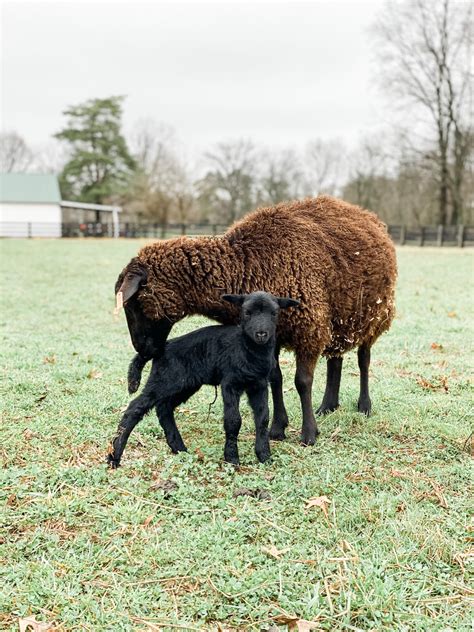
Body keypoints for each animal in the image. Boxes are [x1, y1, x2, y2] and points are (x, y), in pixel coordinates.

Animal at [108, 294, 300, 466]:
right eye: (246, 312)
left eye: (274, 313)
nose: (261, 334)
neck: (248, 351)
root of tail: (161, 349)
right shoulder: (230, 383)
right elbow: (233, 420)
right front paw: (232, 458)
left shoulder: (259, 384)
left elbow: (263, 418)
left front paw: (265, 456)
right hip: (164, 379)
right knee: (136, 407)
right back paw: (114, 457)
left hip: (185, 384)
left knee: (164, 408)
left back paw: (179, 448)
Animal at [115, 195, 396, 446]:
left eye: (132, 304)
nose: (142, 349)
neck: (246, 263)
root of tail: (366, 214)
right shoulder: (276, 334)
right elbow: (275, 378)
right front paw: (278, 428)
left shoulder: (308, 327)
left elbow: (302, 382)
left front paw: (309, 434)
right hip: (337, 319)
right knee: (335, 359)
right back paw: (328, 406)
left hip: (373, 316)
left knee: (363, 360)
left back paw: (364, 406)